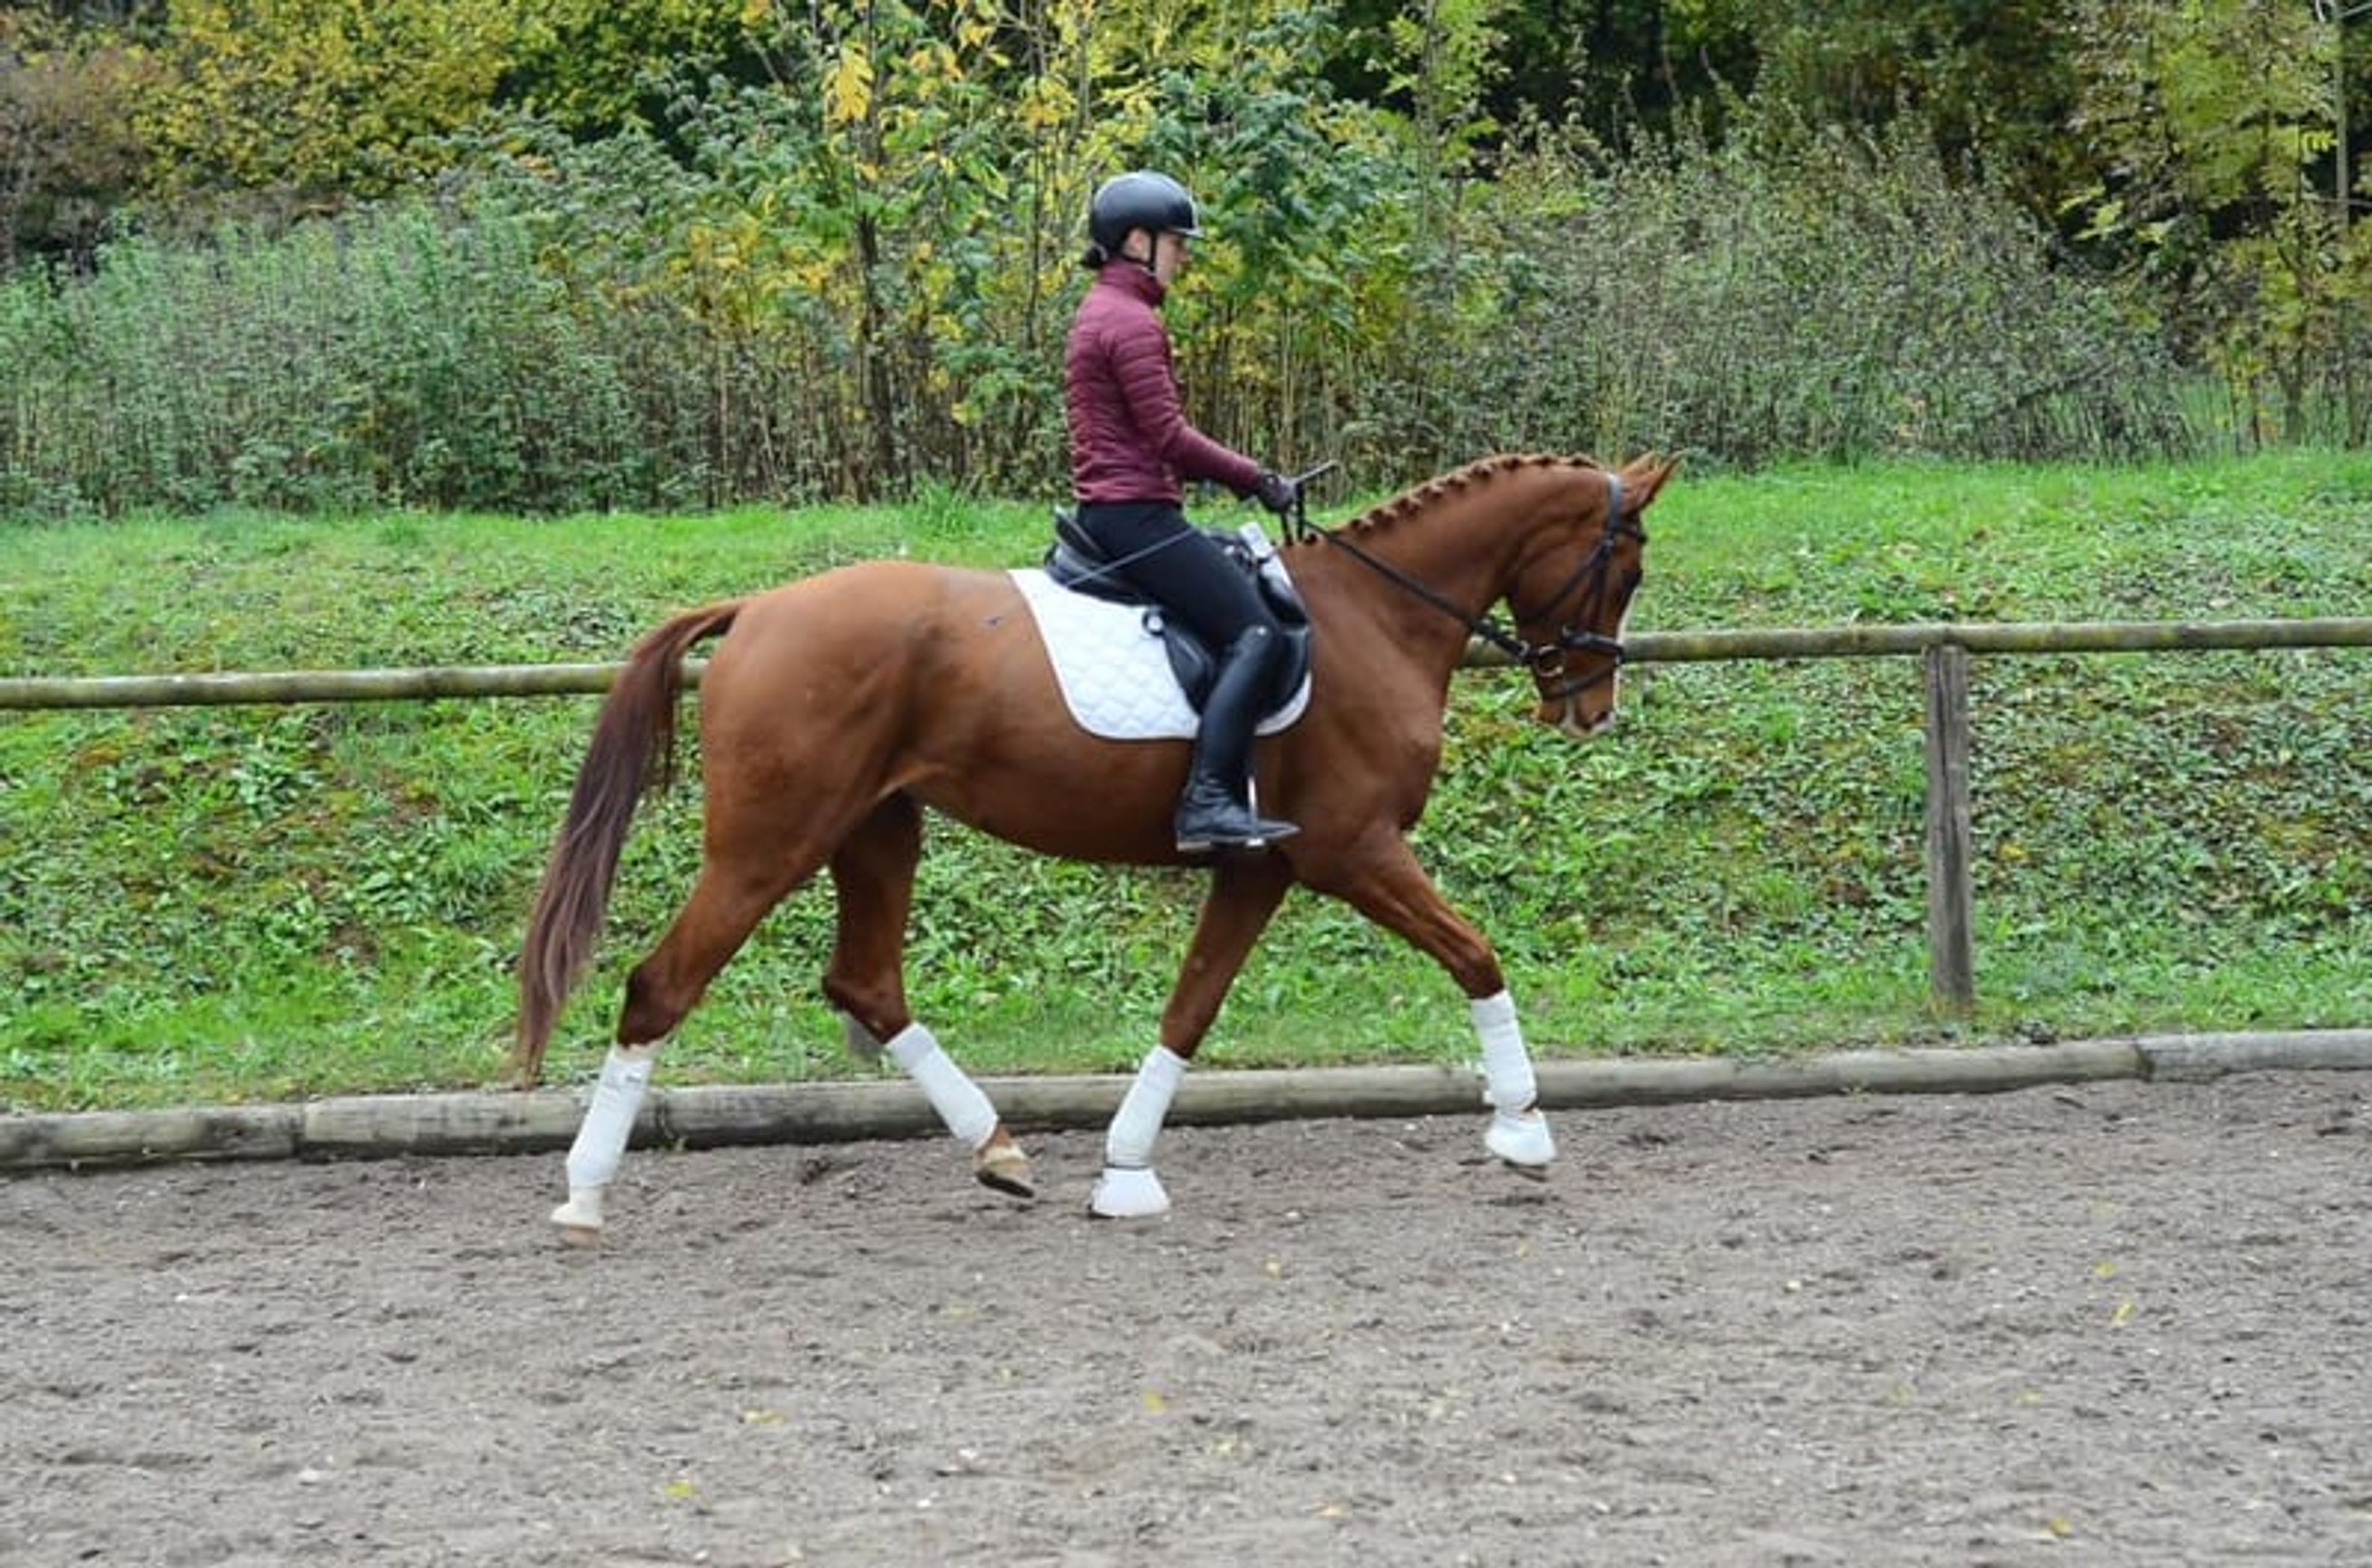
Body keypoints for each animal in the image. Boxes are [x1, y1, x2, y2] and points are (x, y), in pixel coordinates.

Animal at [513, 451, 1673, 1241]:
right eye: (1624, 567)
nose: (1592, 708)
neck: (1374, 618)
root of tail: (756, 609)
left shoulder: (1263, 864)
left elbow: (1191, 1007)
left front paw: (1124, 1171)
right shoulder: (1354, 848)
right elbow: (1475, 951)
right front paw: (1523, 1130)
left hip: (878, 828)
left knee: (866, 981)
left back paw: (1000, 1148)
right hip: (769, 845)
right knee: (662, 984)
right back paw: (582, 1193)